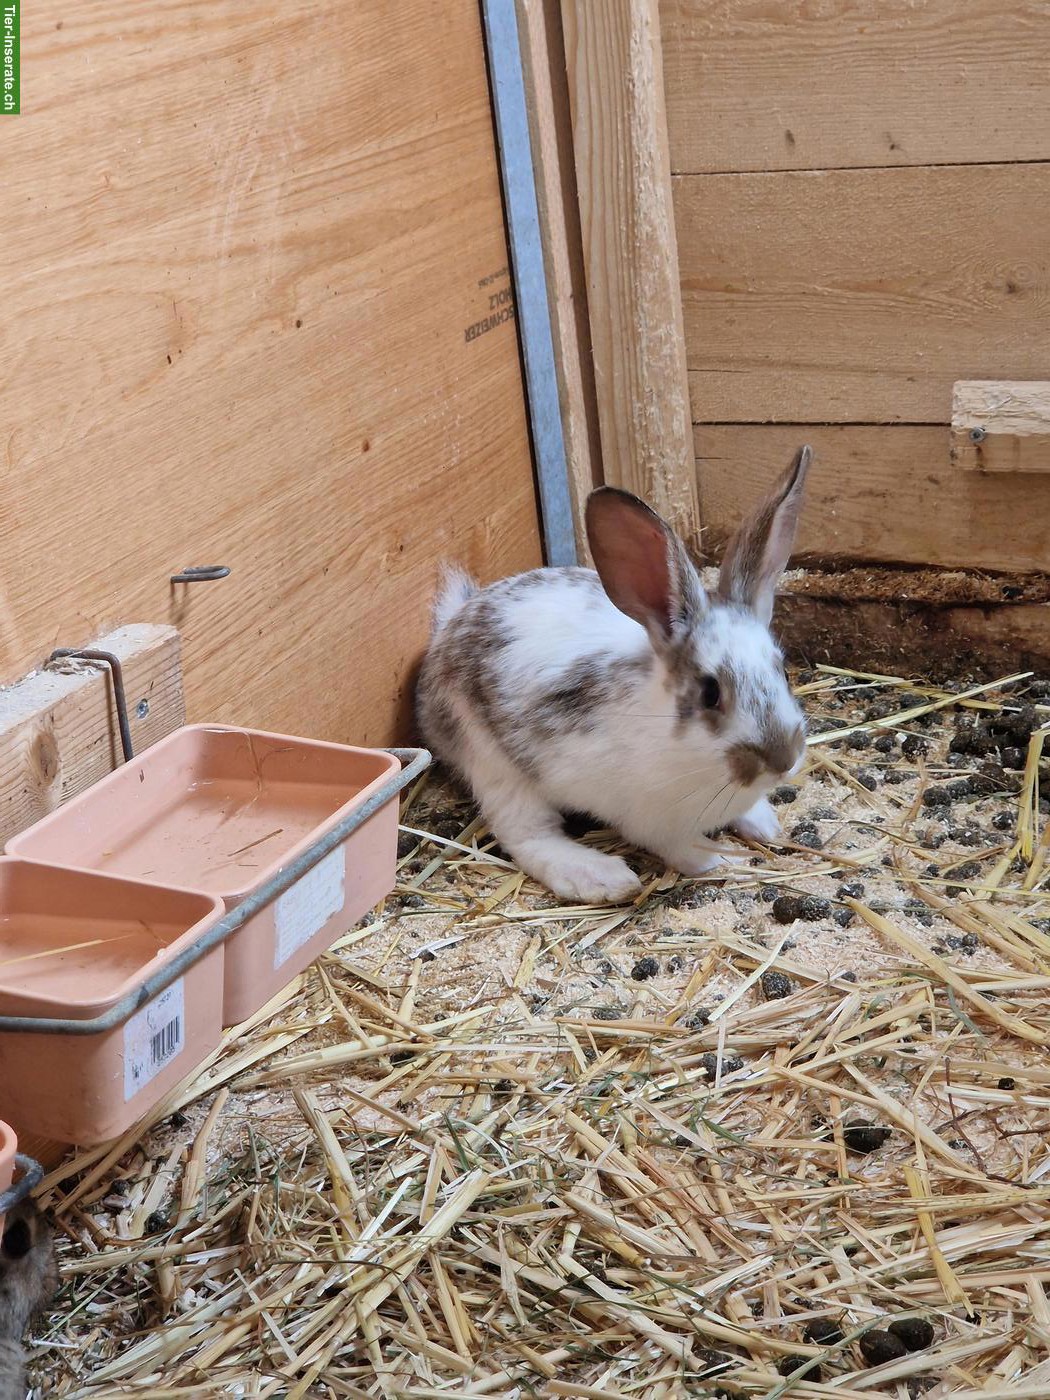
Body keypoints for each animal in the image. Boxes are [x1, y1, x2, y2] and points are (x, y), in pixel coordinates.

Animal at [417, 446, 811, 904]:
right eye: (710, 693)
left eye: (782, 670)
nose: (783, 759)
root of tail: (449, 629)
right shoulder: (653, 821)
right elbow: (678, 847)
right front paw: (717, 860)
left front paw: (765, 824)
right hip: (492, 761)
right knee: (525, 833)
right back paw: (600, 876)